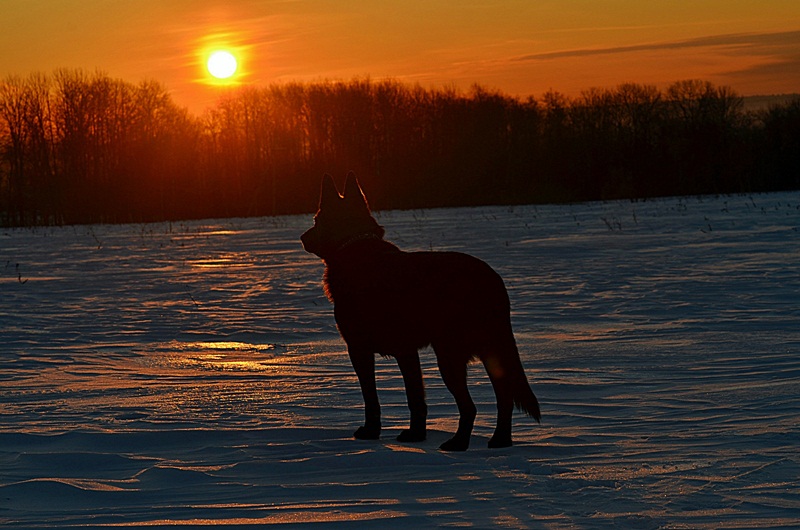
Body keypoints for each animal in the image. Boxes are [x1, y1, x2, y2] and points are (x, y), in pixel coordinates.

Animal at [302, 171, 544, 448]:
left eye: (316, 219)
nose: (303, 237)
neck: (354, 249)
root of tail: (492, 281)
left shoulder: (360, 348)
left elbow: (372, 397)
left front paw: (373, 432)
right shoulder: (405, 351)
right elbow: (414, 397)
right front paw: (416, 435)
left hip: (449, 355)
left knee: (470, 406)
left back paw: (458, 443)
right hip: (490, 352)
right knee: (504, 397)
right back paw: (500, 440)